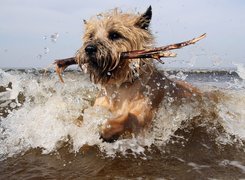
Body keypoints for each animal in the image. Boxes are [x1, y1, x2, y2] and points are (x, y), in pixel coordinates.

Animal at [75, 5, 202, 142]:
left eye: (114, 35)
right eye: (91, 36)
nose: (89, 49)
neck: (120, 86)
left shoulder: (144, 117)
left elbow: (129, 118)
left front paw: (108, 129)